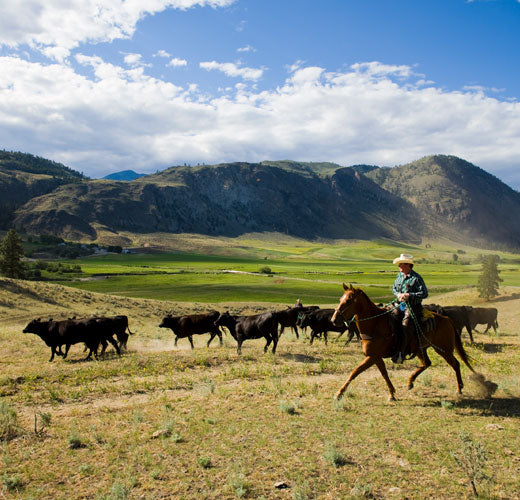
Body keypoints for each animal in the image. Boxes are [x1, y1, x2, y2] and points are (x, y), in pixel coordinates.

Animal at [332, 284, 478, 400]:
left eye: (349, 301)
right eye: (340, 299)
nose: (334, 319)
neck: (375, 324)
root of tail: (447, 319)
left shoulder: (372, 356)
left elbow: (355, 372)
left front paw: (339, 393)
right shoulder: (376, 357)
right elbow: (383, 373)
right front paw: (392, 394)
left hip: (443, 349)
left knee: (455, 364)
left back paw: (459, 389)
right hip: (420, 349)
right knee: (426, 363)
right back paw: (410, 382)